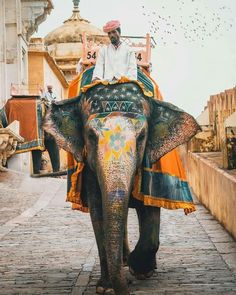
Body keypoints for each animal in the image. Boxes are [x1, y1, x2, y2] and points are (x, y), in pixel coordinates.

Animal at [43, 80, 199, 294]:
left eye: (142, 137)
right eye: (90, 136)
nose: (126, 289)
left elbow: (149, 207)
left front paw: (140, 271)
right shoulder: (90, 168)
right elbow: (98, 212)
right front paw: (105, 288)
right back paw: (123, 260)